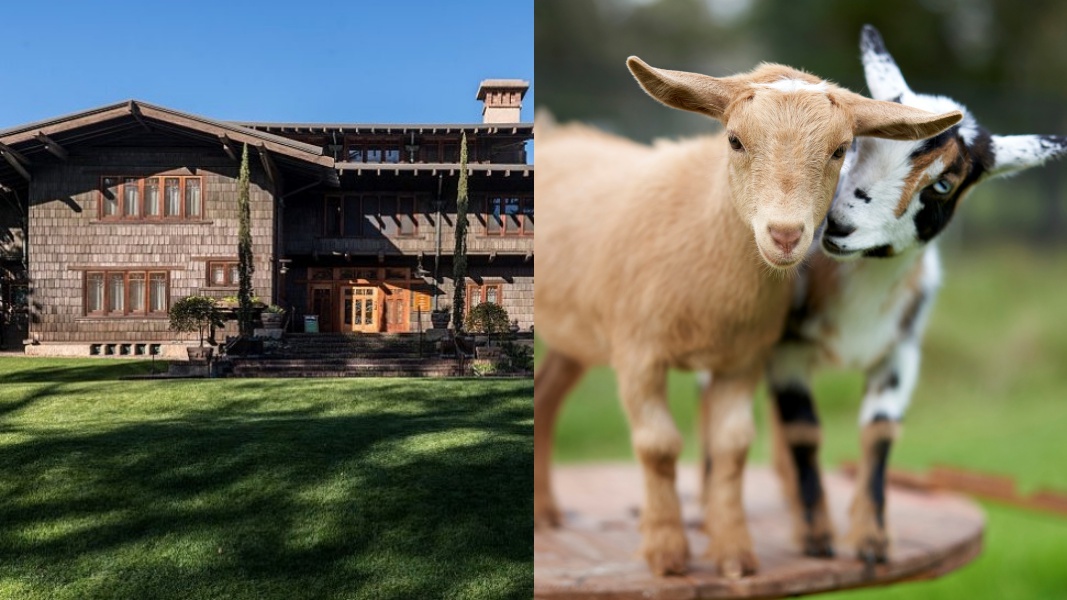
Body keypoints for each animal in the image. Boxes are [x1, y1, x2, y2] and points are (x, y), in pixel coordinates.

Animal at [534, 56, 963, 577]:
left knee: (546, 395)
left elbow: (732, 446)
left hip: (574, 335)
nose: (785, 235)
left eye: (840, 150)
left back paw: (545, 511)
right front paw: (667, 555)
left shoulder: (742, 361)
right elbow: (658, 446)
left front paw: (734, 555)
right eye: (735, 140)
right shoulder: (638, 353)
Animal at [758, 24, 1067, 565]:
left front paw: (872, 542)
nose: (838, 226)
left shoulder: (900, 352)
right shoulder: (786, 347)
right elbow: (803, 429)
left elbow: (880, 431)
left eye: (943, 184)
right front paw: (817, 538)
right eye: (854, 145)